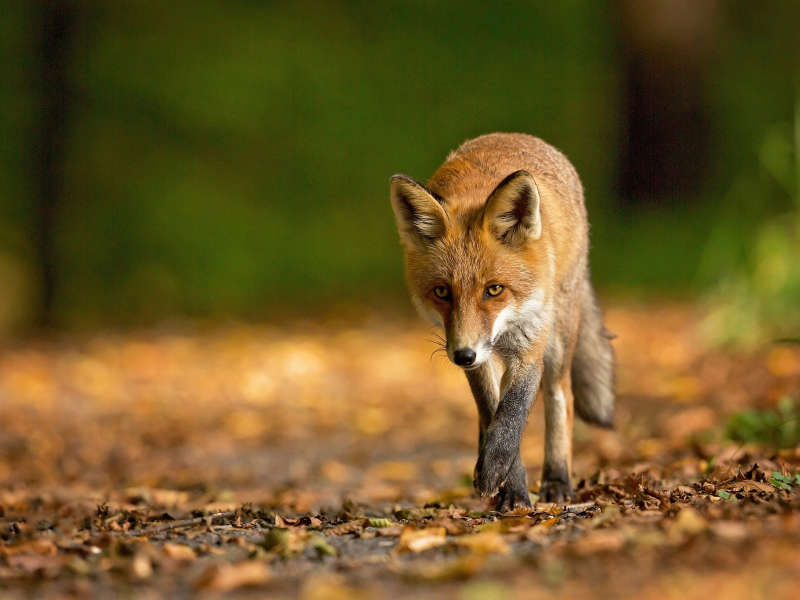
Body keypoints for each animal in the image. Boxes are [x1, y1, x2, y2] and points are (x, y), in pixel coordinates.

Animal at [390, 134, 616, 508]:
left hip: (558, 341)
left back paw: (558, 479)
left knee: (561, 398)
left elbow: (512, 414)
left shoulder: (530, 345)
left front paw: (498, 470)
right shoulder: (478, 358)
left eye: (494, 289)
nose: (462, 356)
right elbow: (492, 411)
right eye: (442, 292)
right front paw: (510, 486)